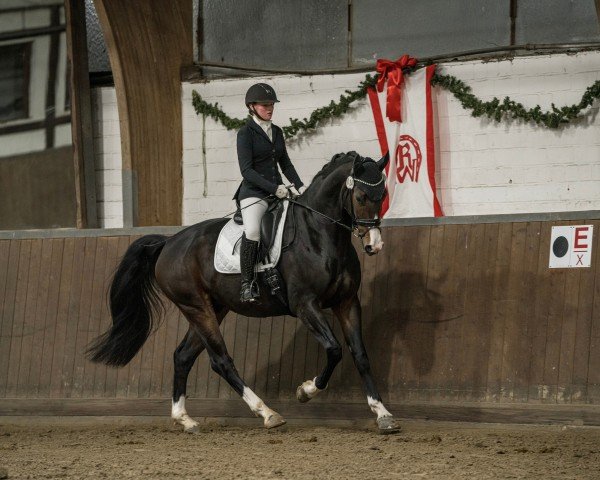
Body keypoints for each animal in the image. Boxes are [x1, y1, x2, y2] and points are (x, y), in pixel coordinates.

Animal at [88, 151, 398, 436]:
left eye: (383, 195)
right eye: (361, 197)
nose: (374, 246)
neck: (319, 235)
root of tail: (168, 243)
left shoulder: (347, 302)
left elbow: (360, 354)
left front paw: (382, 413)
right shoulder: (305, 305)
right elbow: (334, 349)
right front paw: (306, 390)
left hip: (213, 308)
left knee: (183, 356)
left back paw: (185, 419)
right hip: (196, 307)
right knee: (221, 360)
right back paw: (267, 413)